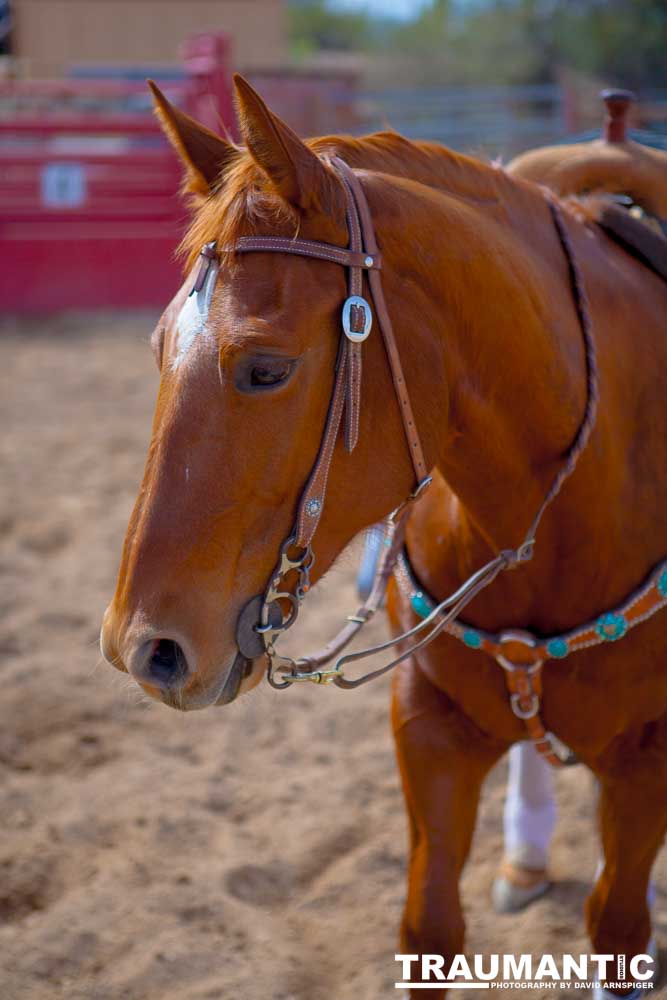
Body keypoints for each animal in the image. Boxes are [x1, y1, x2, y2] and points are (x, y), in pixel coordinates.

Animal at [100, 74, 667, 996]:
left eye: (266, 368)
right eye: (156, 349)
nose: (141, 648)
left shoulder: (646, 764)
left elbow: (617, 926)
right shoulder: (427, 728)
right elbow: (429, 925)